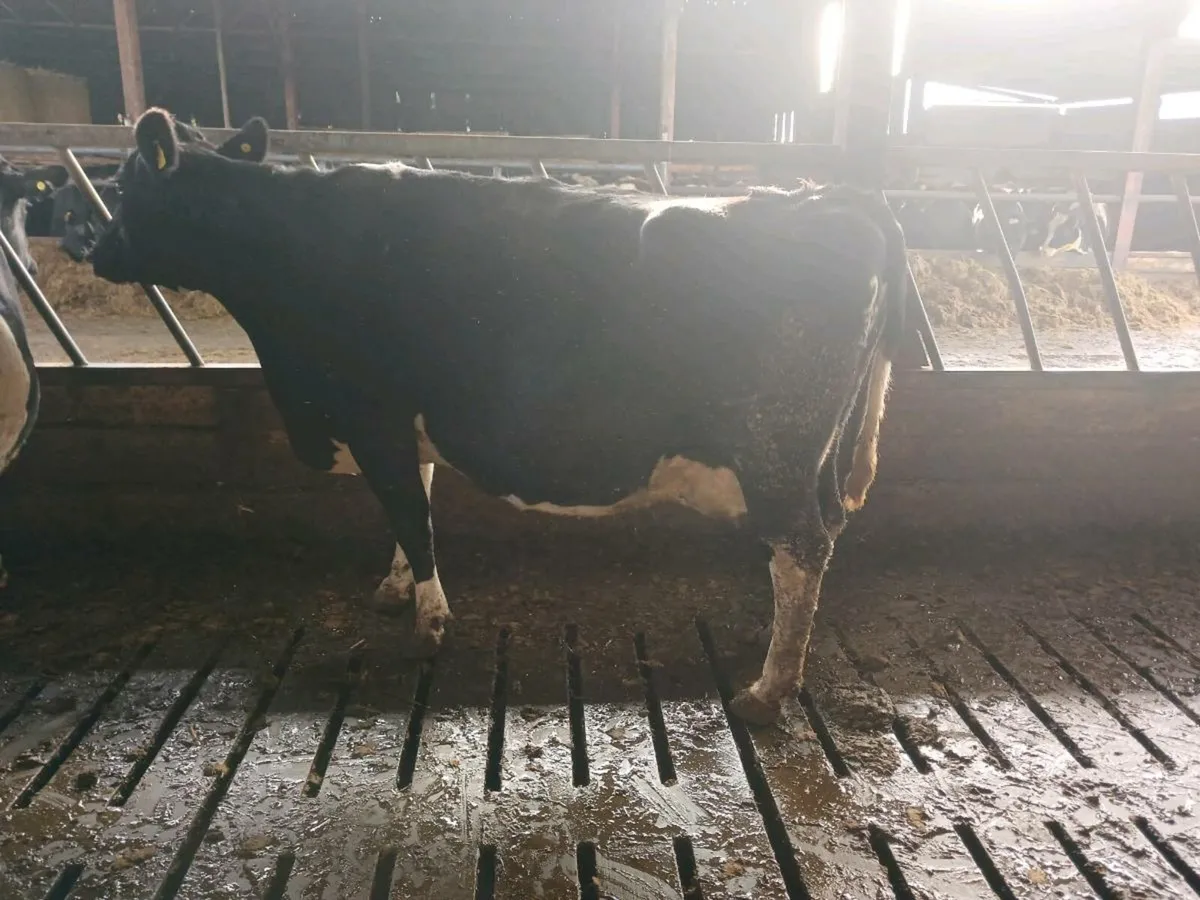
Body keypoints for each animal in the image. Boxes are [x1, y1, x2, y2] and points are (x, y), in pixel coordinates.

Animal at [88, 108, 908, 725]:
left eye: (124, 186)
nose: (94, 252)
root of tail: (834, 198)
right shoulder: (402, 426)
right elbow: (413, 501)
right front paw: (394, 590)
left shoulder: (374, 416)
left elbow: (410, 514)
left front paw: (428, 622)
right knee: (813, 542)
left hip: (774, 445)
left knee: (801, 545)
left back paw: (769, 688)